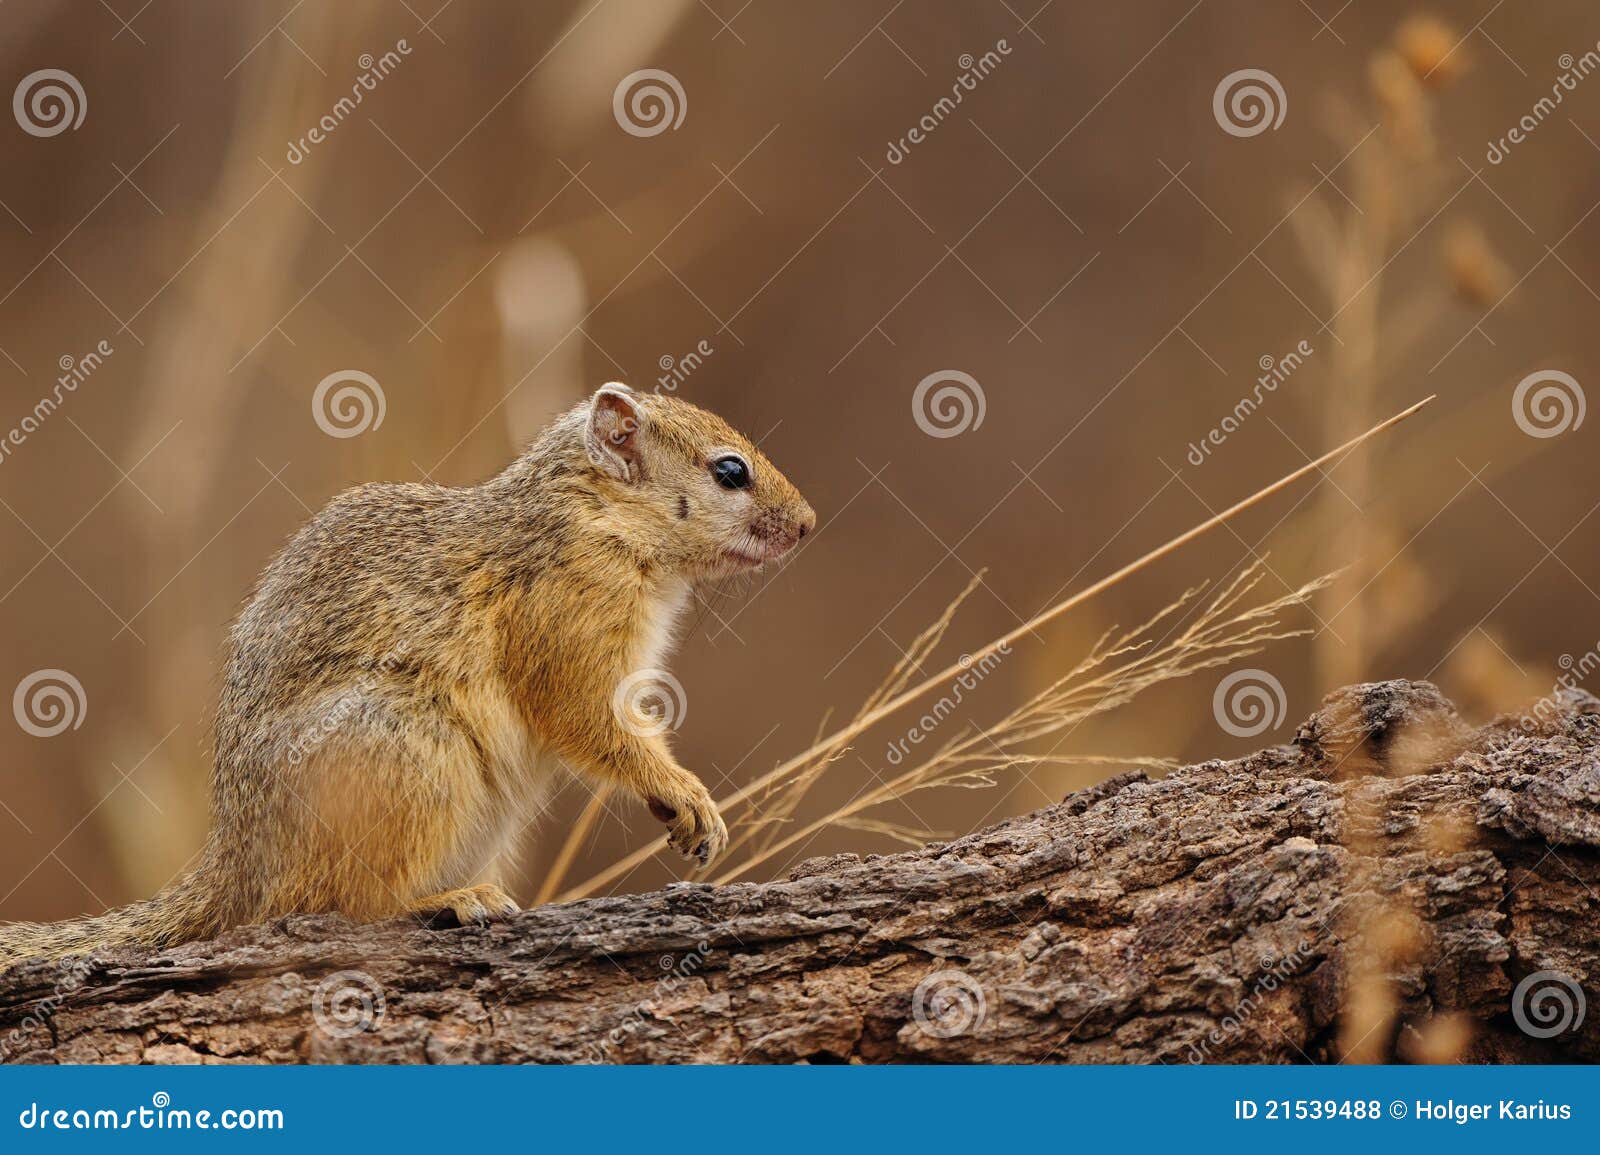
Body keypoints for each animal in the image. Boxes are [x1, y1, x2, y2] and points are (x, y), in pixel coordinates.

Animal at [0, 384, 815, 967]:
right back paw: (453, 901)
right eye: (730, 470)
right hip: (410, 751)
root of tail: (237, 862)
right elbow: (593, 725)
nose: (808, 524)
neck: (597, 517)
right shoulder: (568, 639)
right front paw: (688, 797)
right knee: (337, 905)